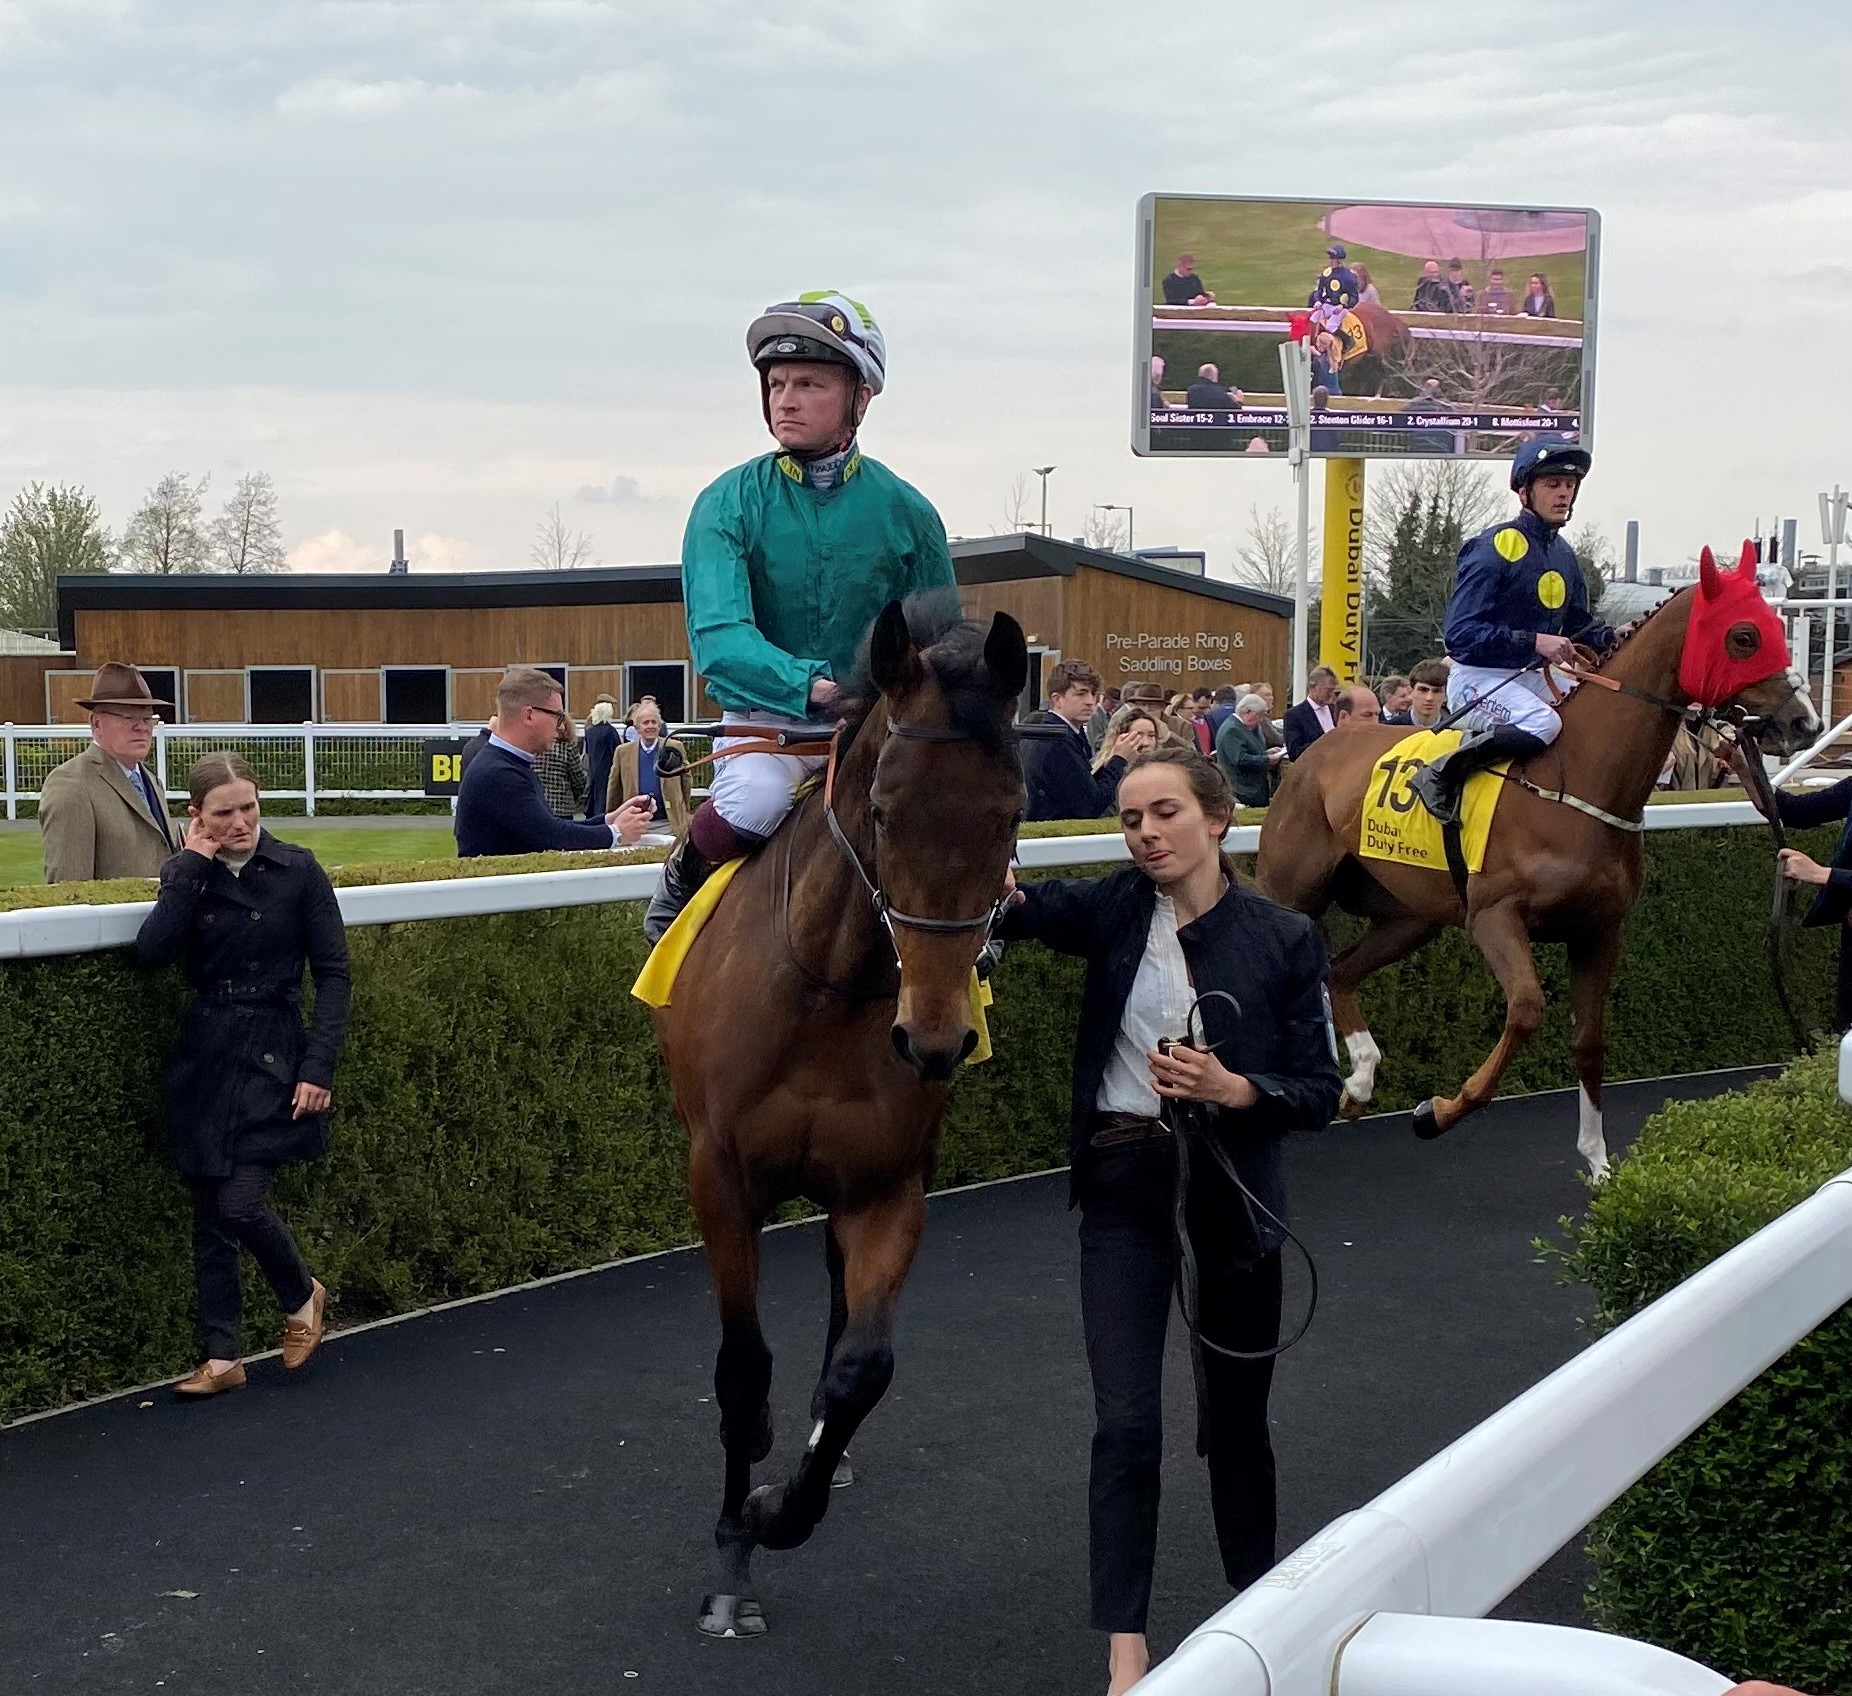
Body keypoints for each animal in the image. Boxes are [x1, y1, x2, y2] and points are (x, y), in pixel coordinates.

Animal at [651, 599, 1029, 1644]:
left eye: (1011, 814)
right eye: (887, 811)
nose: (934, 1040)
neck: (825, 986)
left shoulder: (890, 1183)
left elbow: (865, 1367)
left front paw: (782, 1505)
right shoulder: (720, 1178)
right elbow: (743, 1373)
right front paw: (733, 1549)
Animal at [1251, 548, 1814, 1177]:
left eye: (1777, 628)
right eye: (1744, 636)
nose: (1805, 721)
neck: (1577, 783)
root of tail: (1309, 754)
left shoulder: (1599, 929)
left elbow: (1588, 1039)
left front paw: (1598, 1161)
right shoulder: (1494, 917)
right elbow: (1525, 1011)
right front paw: (1438, 1111)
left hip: (1409, 919)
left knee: (1338, 970)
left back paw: (1360, 1079)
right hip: (1289, 890)